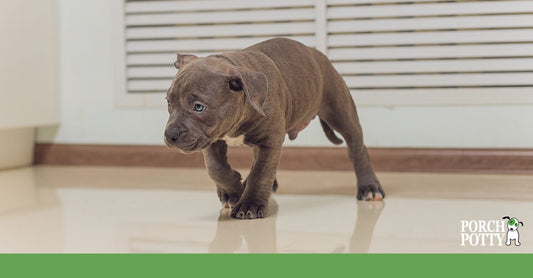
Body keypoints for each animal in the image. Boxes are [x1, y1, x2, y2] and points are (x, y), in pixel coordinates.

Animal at [164, 37, 384, 219]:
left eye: (198, 107)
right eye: (168, 102)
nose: (170, 135)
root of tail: (317, 53)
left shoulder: (269, 140)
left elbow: (261, 172)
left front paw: (250, 204)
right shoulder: (213, 139)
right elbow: (216, 168)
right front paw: (232, 191)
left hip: (340, 111)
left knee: (357, 148)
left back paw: (369, 187)